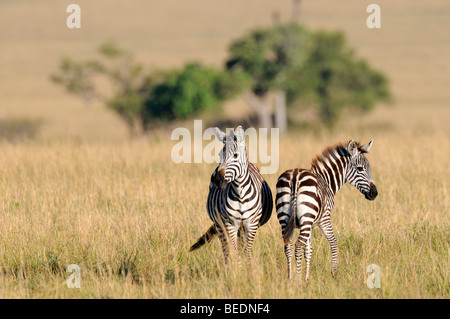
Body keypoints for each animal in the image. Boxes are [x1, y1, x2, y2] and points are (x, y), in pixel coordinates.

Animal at [189, 126, 272, 264]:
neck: (240, 194)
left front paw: (248, 269)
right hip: (220, 225)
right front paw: (236, 269)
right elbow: (234, 252)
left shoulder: (252, 224)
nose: (217, 180)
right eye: (219, 155)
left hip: (241, 228)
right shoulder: (230, 223)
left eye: (235, 155)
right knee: (225, 249)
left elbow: (247, 252)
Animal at [276, 140, 378, 280]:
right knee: (298, 246)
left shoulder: (310, 225)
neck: (326, 180)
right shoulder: (324, 218)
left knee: (288, 246)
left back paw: (290, 278)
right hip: (307, 218)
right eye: (360, 169)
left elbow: (308, 250)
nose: (375, 193)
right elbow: (333, 243)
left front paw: (307, 279)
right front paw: (334, 273)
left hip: (286, 218)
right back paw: (297, 280)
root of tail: (295, 176)